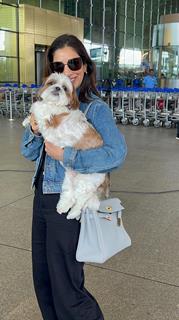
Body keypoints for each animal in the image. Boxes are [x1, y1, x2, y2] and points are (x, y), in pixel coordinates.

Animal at [22, 72, 109, 220]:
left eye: (65, 88)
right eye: (51, 83)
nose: (57, 88)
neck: (53, 103)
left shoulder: (48, 118)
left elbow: (38, 107)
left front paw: (31, 113)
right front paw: (27, 121)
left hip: (85, 182)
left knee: (81, 200)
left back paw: (73, 213)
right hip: (69, 179)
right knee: (70, 195)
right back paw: (62, 207)